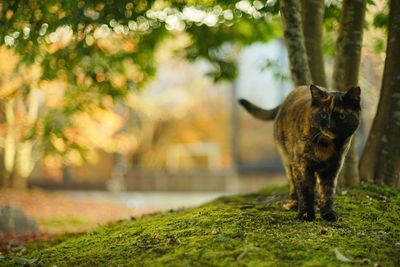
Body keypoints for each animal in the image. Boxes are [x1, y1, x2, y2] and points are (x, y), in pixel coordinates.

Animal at [239, 85, 360, 221]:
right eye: (323, 115)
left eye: (342, 116)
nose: (330, 126)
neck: (326, 146)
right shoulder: (302, 165)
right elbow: (305, 189)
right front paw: (306, 214)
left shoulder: (332, 168)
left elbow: (327, 192)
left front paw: (328, 213)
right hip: (287, 160)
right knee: (293, 183)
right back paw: (293, 203)